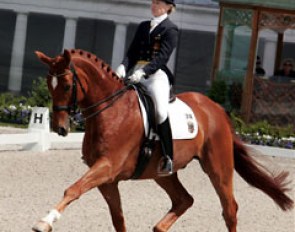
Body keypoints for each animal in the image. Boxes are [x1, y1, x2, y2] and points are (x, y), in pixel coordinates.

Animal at [33, 49, 294, 232]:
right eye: (49, 84)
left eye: (67, 85)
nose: (60, 128)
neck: (112, 112)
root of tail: (216, 109)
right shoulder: (108, 179)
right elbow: (118, 218)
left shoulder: (107, 167)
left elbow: (73, 189)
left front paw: (44, 222)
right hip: (163, 173)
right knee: (184, 200)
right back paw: (160, 226)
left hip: (217, 167)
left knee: (229, 208)